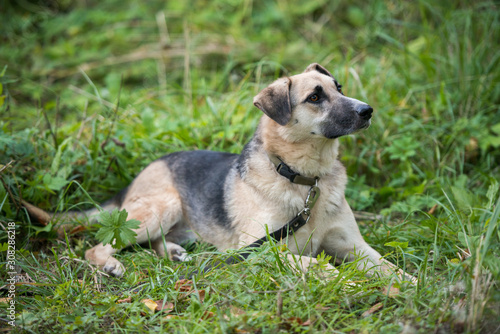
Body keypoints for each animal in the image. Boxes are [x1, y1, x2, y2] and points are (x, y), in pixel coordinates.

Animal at [25, 63, 410, 282]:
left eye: (339, 88)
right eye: (315, 97)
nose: (367, 111)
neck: (303, 180)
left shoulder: (355, 245)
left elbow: (391, 268)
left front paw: (415, 287)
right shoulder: (260, 249)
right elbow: (313, 263)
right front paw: (340, 278)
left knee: (155, 243)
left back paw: (174, 253)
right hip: (162, 206)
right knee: (98, 246)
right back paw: (109, 264)